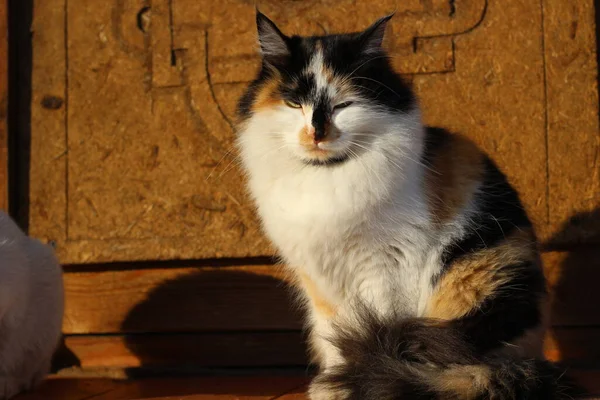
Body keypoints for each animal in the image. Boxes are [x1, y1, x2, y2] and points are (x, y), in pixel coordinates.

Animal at [234, 10, 576, 398]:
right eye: (294, 103)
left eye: (344, 105)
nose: (316, 133)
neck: (327, 178)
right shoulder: (320, 281)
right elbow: (334, 333)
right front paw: (336, 384)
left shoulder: (385, 267)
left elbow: (376, 327)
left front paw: (359, 379)